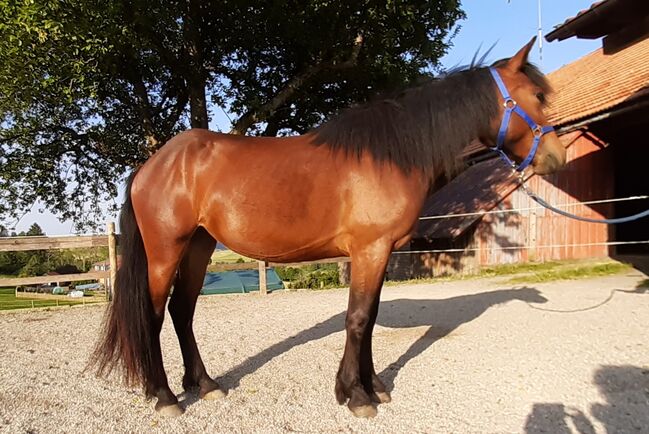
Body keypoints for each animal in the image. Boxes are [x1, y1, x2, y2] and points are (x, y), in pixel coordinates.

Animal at [92, 39, 568, 418]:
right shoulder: (370, 249)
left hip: (199, 246)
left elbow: (369, 319)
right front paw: (356, 396)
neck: (391, 155)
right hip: (166, 249)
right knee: (154, 314)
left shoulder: (379, 252)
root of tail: (153, 164)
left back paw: (205, 385)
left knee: (182, 311)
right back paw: (165, 396)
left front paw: (372, 387)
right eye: (536, 95)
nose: (556, 157)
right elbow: (357, 319)